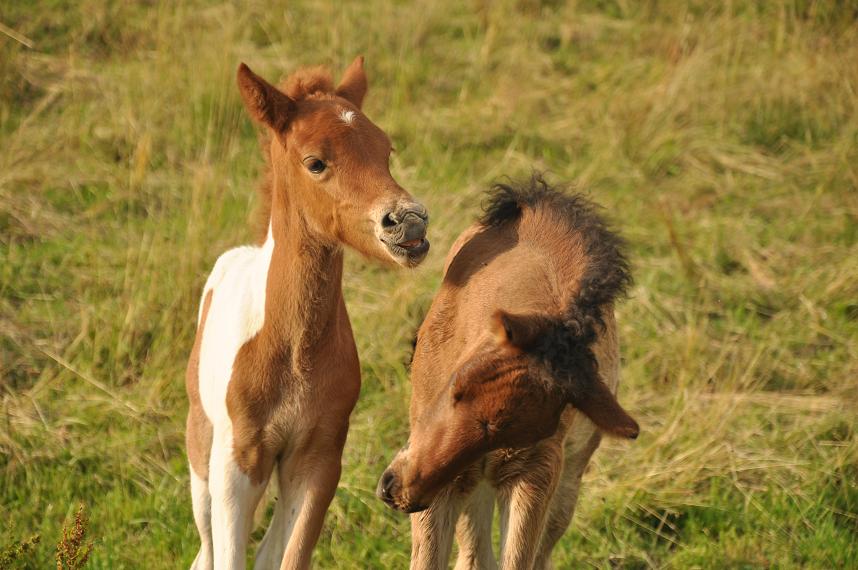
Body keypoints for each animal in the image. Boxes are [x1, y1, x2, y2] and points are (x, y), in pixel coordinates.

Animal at [186, 58, 428, 568]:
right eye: (316, 162)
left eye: (386, 150)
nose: (410, 223)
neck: (293, 351)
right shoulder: (236, 462)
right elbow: (229, 557)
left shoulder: (318, 459)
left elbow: (289, 557)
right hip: (201, 449)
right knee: (205, 550)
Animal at [376, 178, 636, 568]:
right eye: (457, 386)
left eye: (530, 430)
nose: (397, 491)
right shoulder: (447, 475)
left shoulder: (534, 468)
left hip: (562, 473)